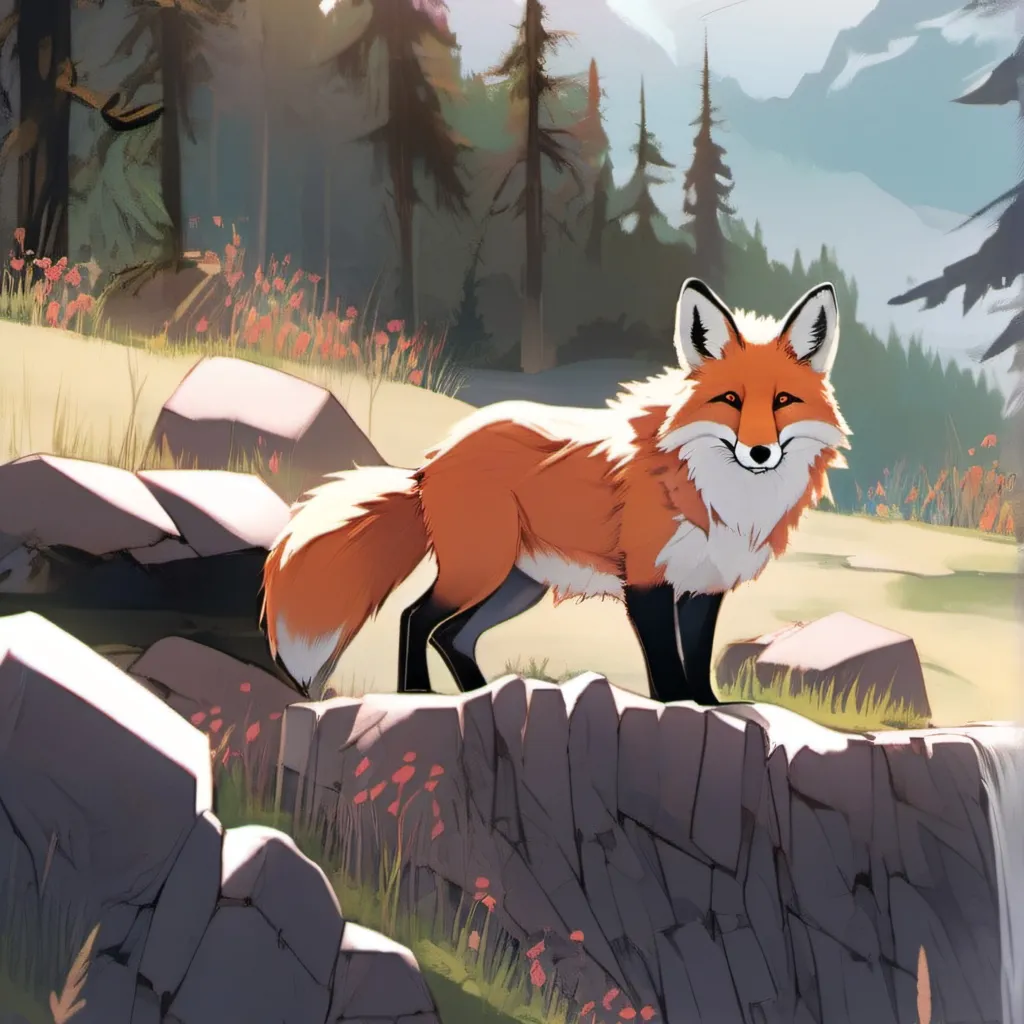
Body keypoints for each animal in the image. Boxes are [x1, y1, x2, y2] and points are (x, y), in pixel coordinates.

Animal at [261, 277, 851, 705]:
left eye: (782, 402)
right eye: (730, 400)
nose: (760, 453)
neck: (720, 494)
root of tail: (431, 462)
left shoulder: (704, 584)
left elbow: (699, 661)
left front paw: (709, 706)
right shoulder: (648, 580)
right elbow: (666, 665)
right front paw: (677, 706)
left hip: (516, 586)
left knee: (453, 635)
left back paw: (482, 694)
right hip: (481, 571)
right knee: (415, 618)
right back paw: (419, 694)